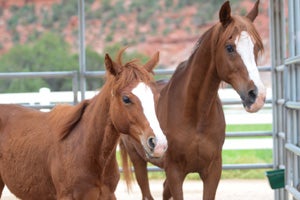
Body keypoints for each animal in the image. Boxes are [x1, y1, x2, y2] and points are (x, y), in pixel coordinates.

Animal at [119, 0, 264, 199]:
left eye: (256, 47)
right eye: (229, 48)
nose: (257, 95)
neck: (195, 115)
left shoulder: (212, 172)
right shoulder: (175, 173)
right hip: (138, 160)